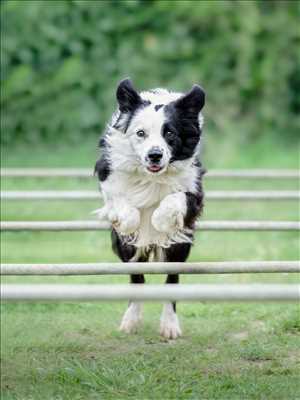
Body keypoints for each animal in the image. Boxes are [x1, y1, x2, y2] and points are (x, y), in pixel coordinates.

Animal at [95, 79, 205, 340]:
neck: (151, 177)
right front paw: (128, 220)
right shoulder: (109, 175)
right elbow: (120, 199)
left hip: (179, 247)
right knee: (137, 277)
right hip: (128, 250)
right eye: (140, 133)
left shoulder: (194, 188)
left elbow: (176, 198)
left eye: (170, 133)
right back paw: (130, 321)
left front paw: (161, 219)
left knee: (171, 279)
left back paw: (170, 325)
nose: (154, 155)